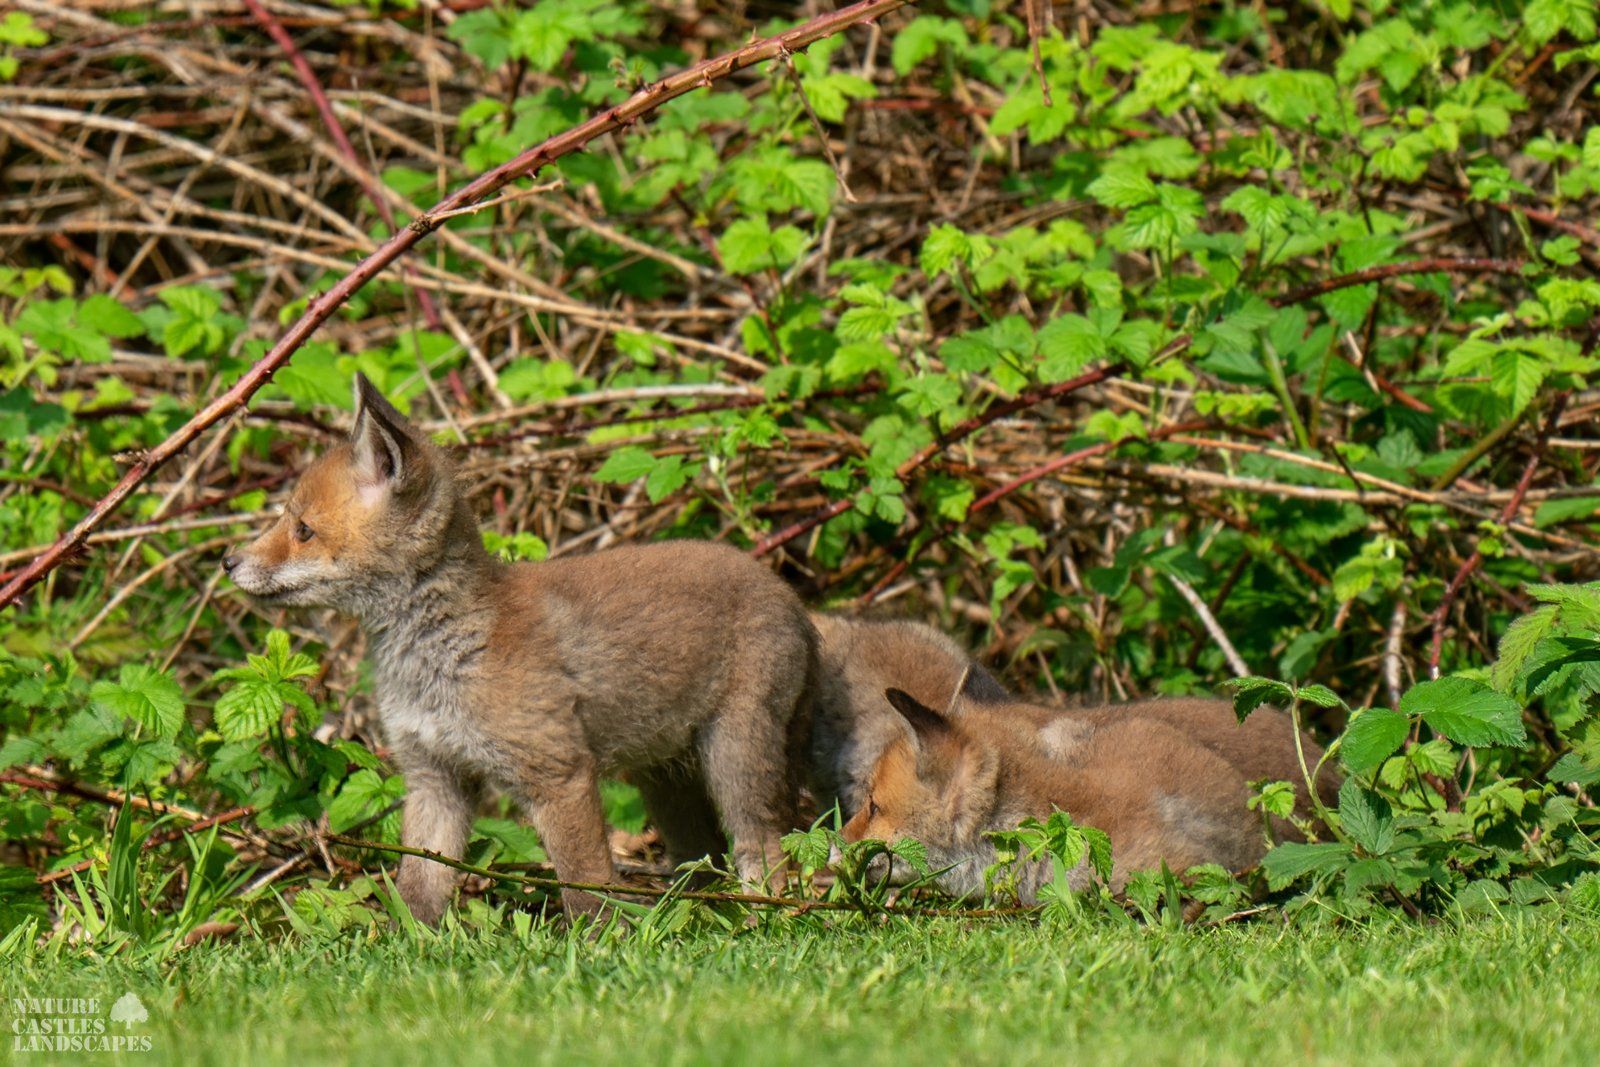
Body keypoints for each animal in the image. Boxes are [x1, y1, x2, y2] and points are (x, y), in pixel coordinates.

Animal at [224, 374, 817, 923]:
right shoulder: (433, 777)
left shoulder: (559, 775)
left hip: (735, 758)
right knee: (705, 855)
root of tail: (790, 595)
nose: (227, 561)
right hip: (666, 779)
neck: (444, 658)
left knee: (764, 847)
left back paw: (765, 916)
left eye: (303, 530)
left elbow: (585, 887)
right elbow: (419, 888)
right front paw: (399, 945)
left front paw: (599, 948)